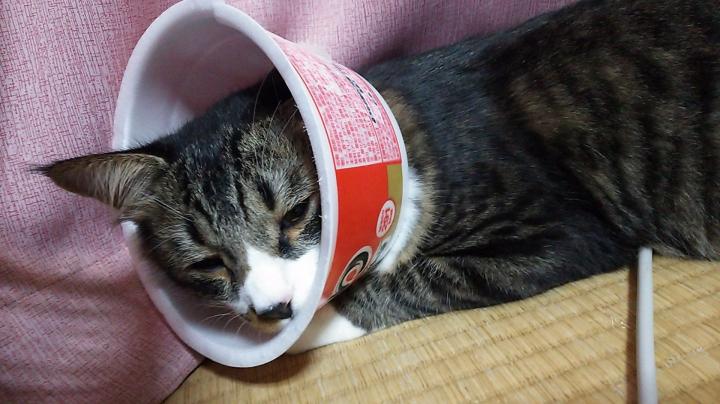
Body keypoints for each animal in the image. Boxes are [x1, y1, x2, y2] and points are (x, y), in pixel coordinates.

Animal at [42, 0, 720, 352]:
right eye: (208, 262)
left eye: (296, 215)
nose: (273, 310)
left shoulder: (563, 231)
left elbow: (411, 280)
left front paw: (315, 323)